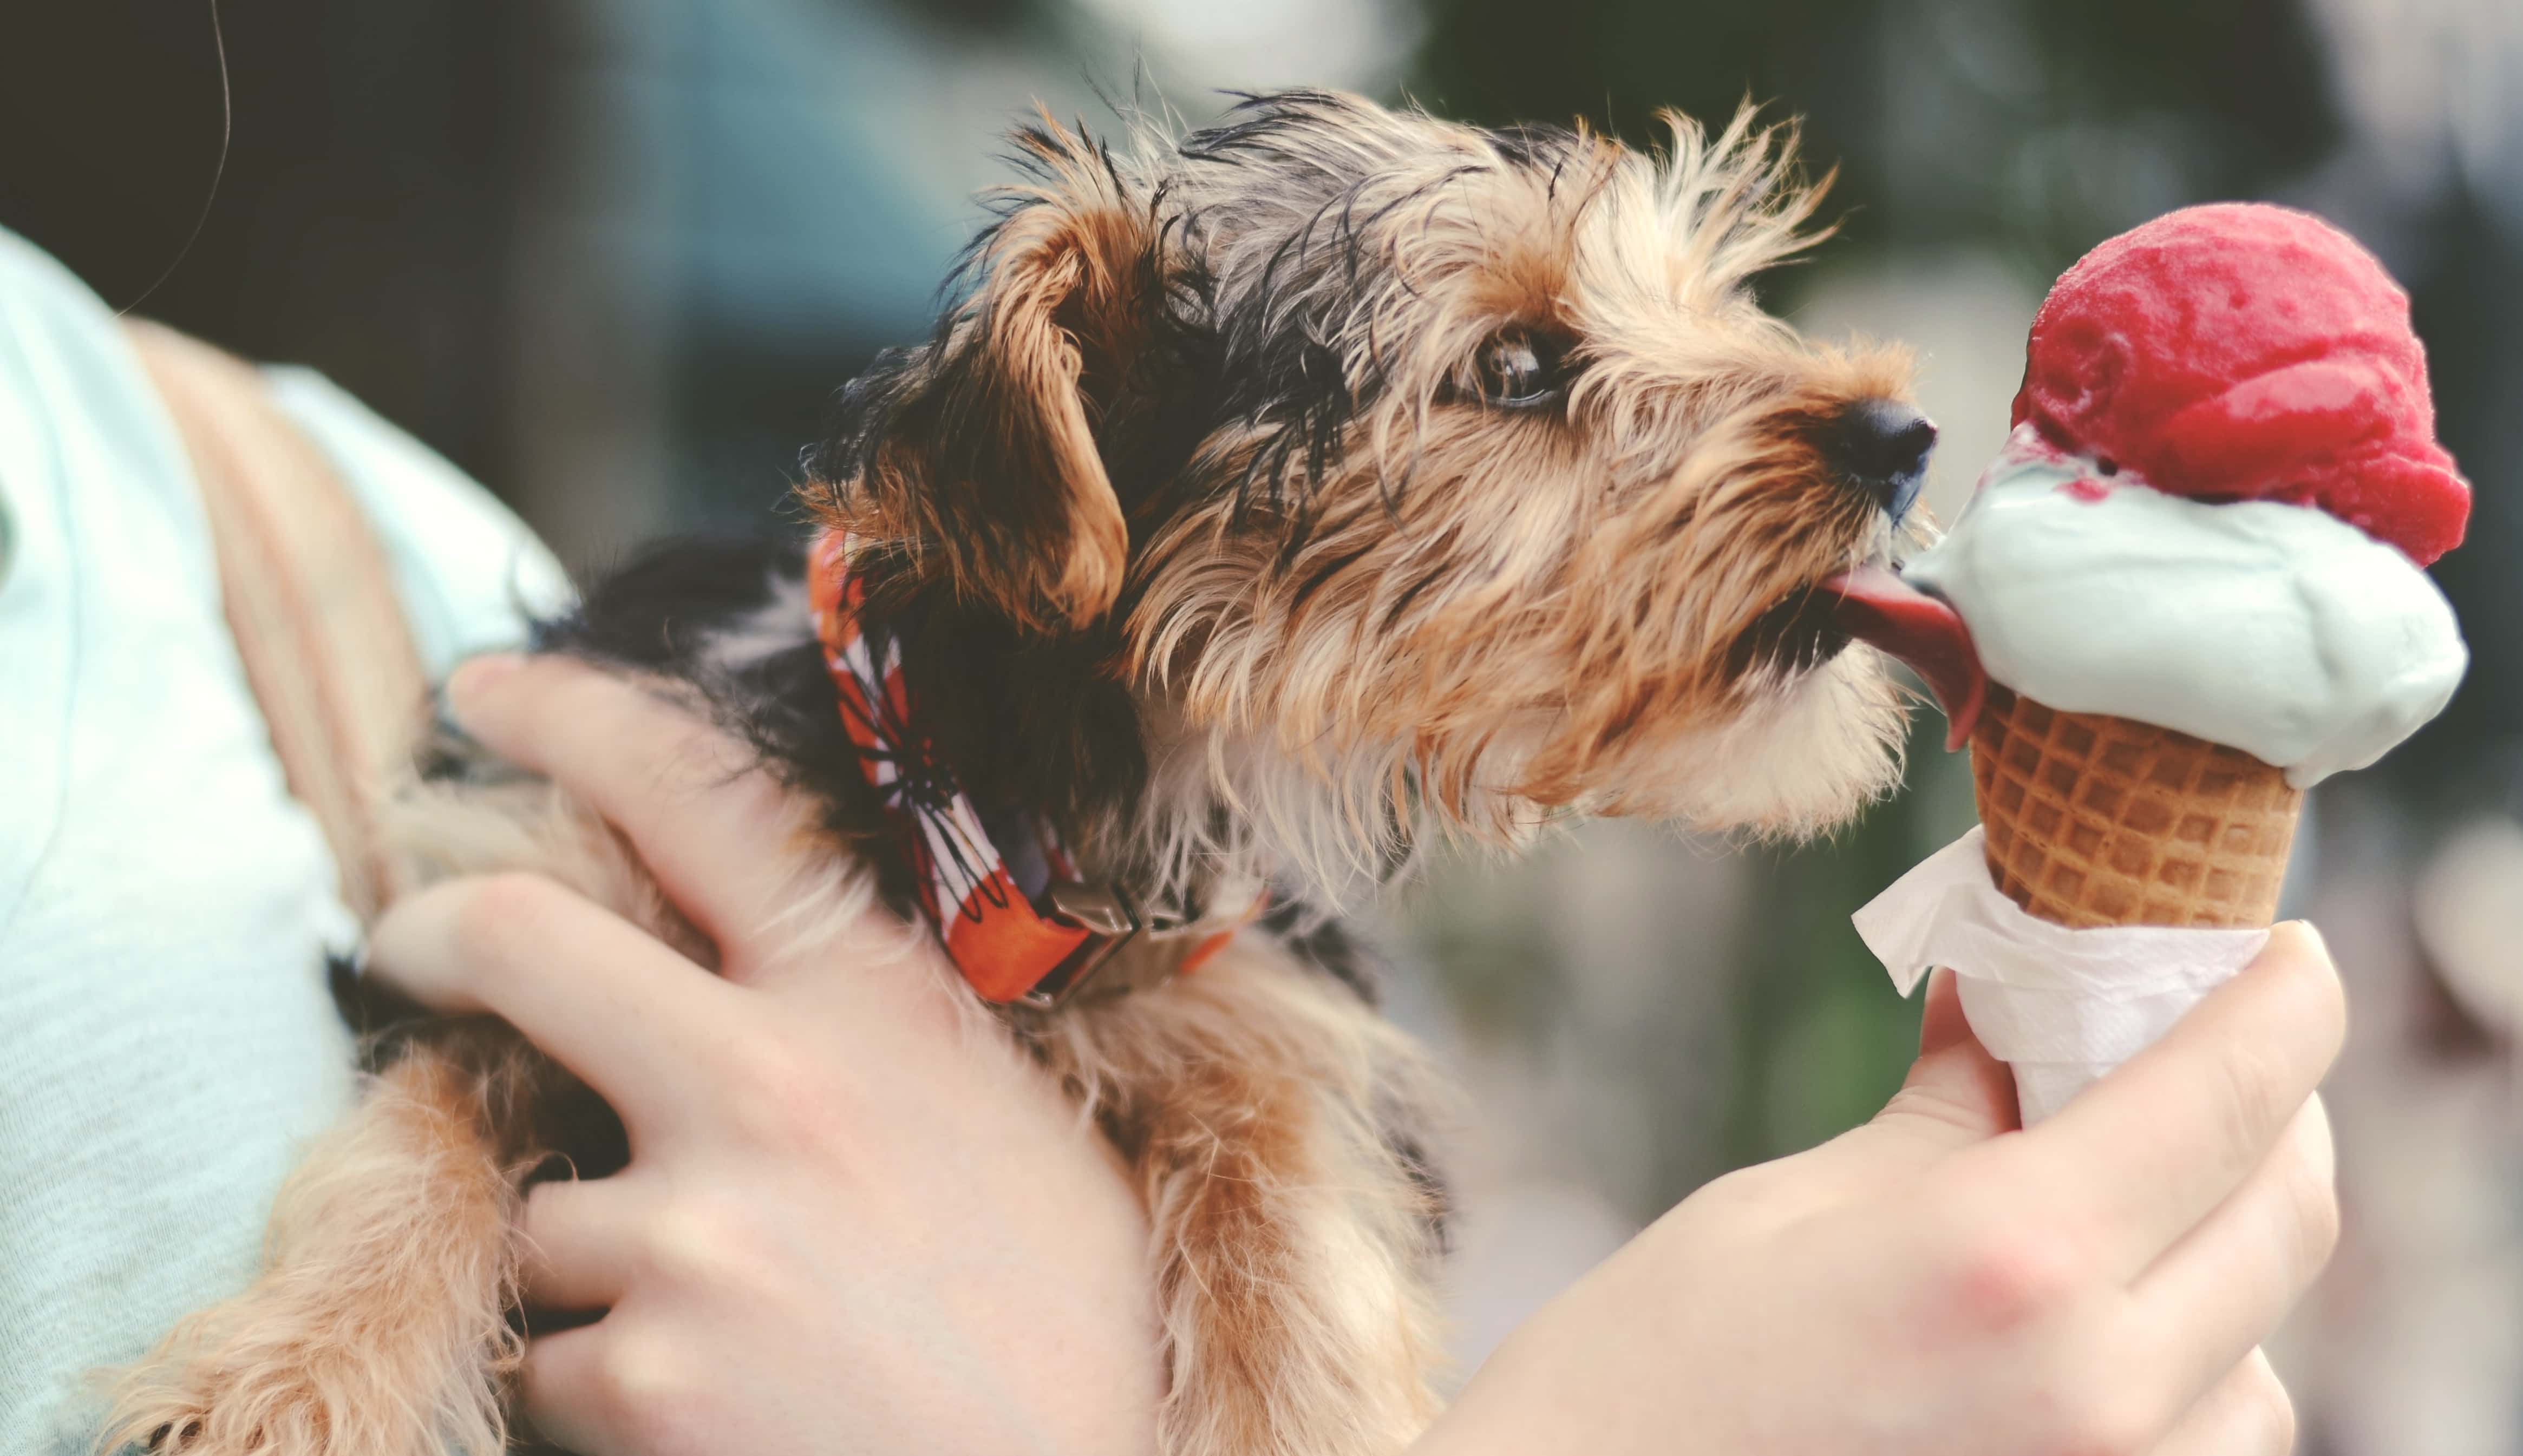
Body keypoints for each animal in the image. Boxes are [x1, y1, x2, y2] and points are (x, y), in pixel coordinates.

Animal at [98, 90, 1927, 1453]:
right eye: (1520, 367)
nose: (1900, 440)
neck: (968, 802)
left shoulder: (1255, 997)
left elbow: (1290, 1185)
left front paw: (1300, 1397)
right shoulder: (528, 885)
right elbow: (417, 1127)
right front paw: (291, 1381)